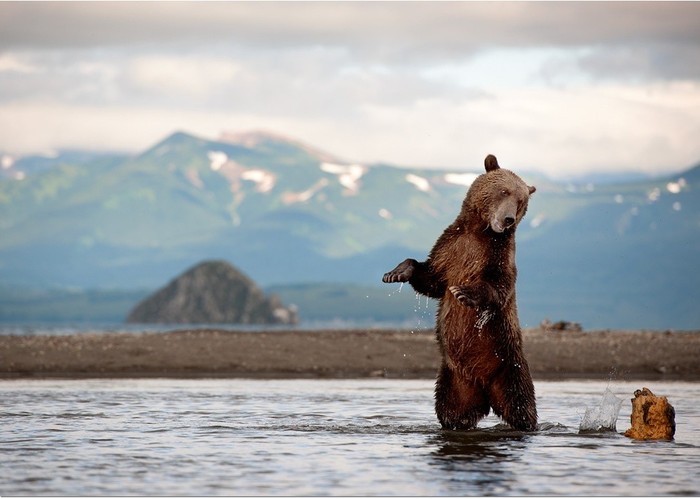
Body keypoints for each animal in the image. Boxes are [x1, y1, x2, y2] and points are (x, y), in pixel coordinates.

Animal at [382, 154, 536, 432]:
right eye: (504, 191)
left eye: (521, 202)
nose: (508, 218)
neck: (481, 232)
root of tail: (486, 389)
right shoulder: (450, 249)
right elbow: (432, 280)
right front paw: (396, 273)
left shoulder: (498, 256)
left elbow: (499, 287)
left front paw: (465, 293)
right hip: (455, 380)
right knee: (451, 410)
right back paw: (456, 422)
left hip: (510, 366)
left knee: (521, 405)